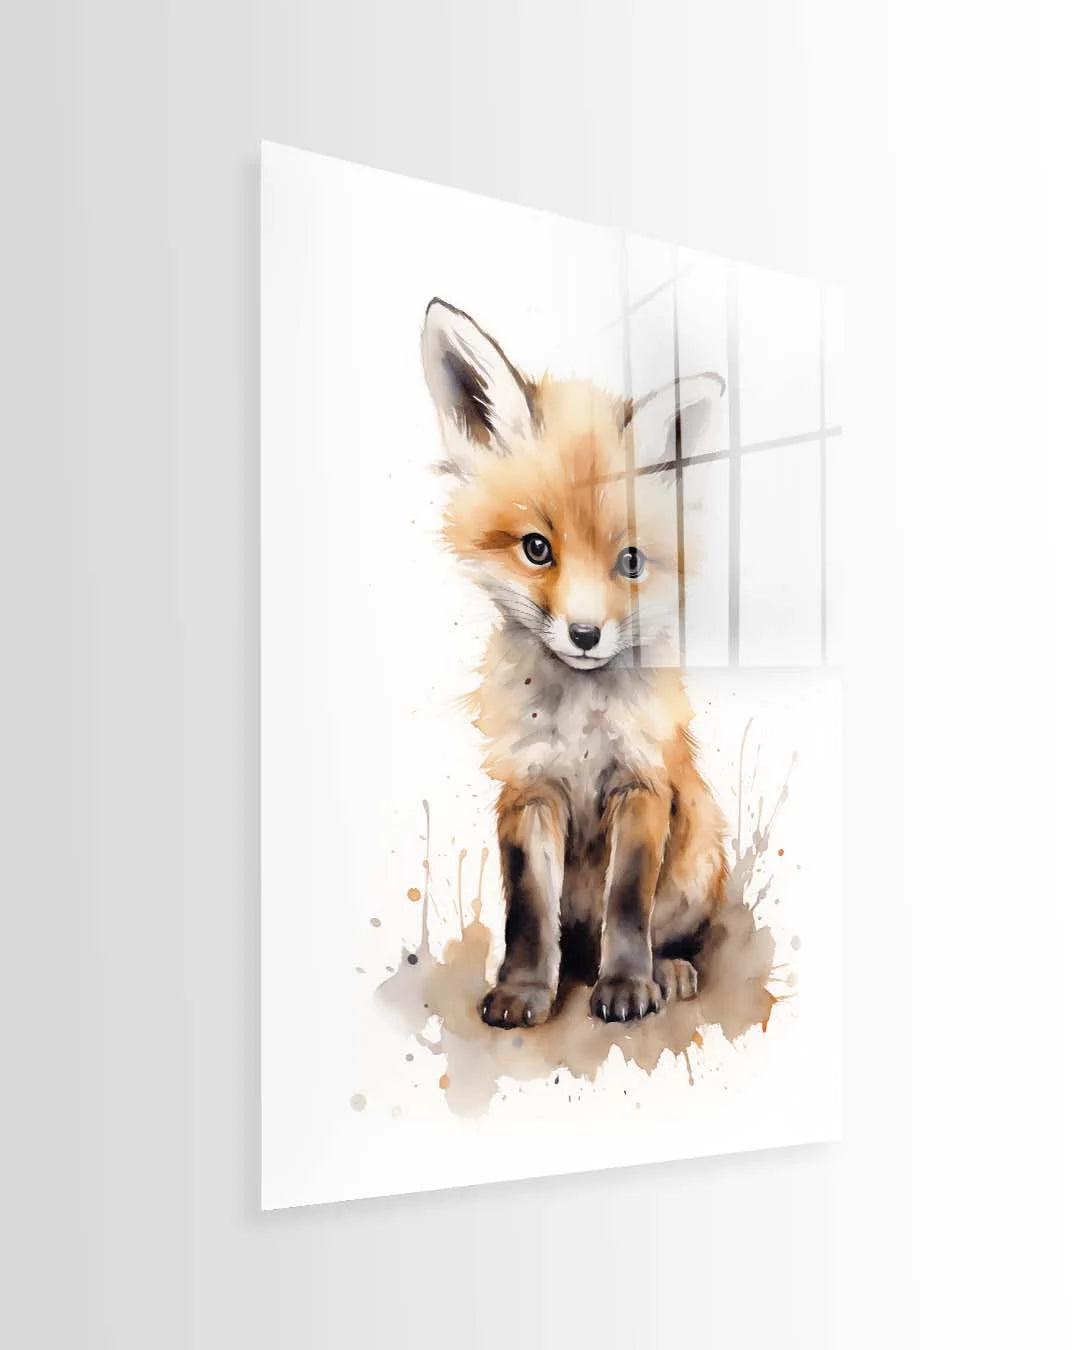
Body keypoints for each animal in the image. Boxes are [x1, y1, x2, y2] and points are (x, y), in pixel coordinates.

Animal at [421, 297, 730, 1028]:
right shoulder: (529, 788)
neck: (582, 725)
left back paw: (667, 970)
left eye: (631, 562)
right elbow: (531, 914)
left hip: (699, 856)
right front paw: (524, 991)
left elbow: (628, 903)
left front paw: (626, 984)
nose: (586, 634)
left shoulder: (642, 784)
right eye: (536, 548)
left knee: (671, 932)